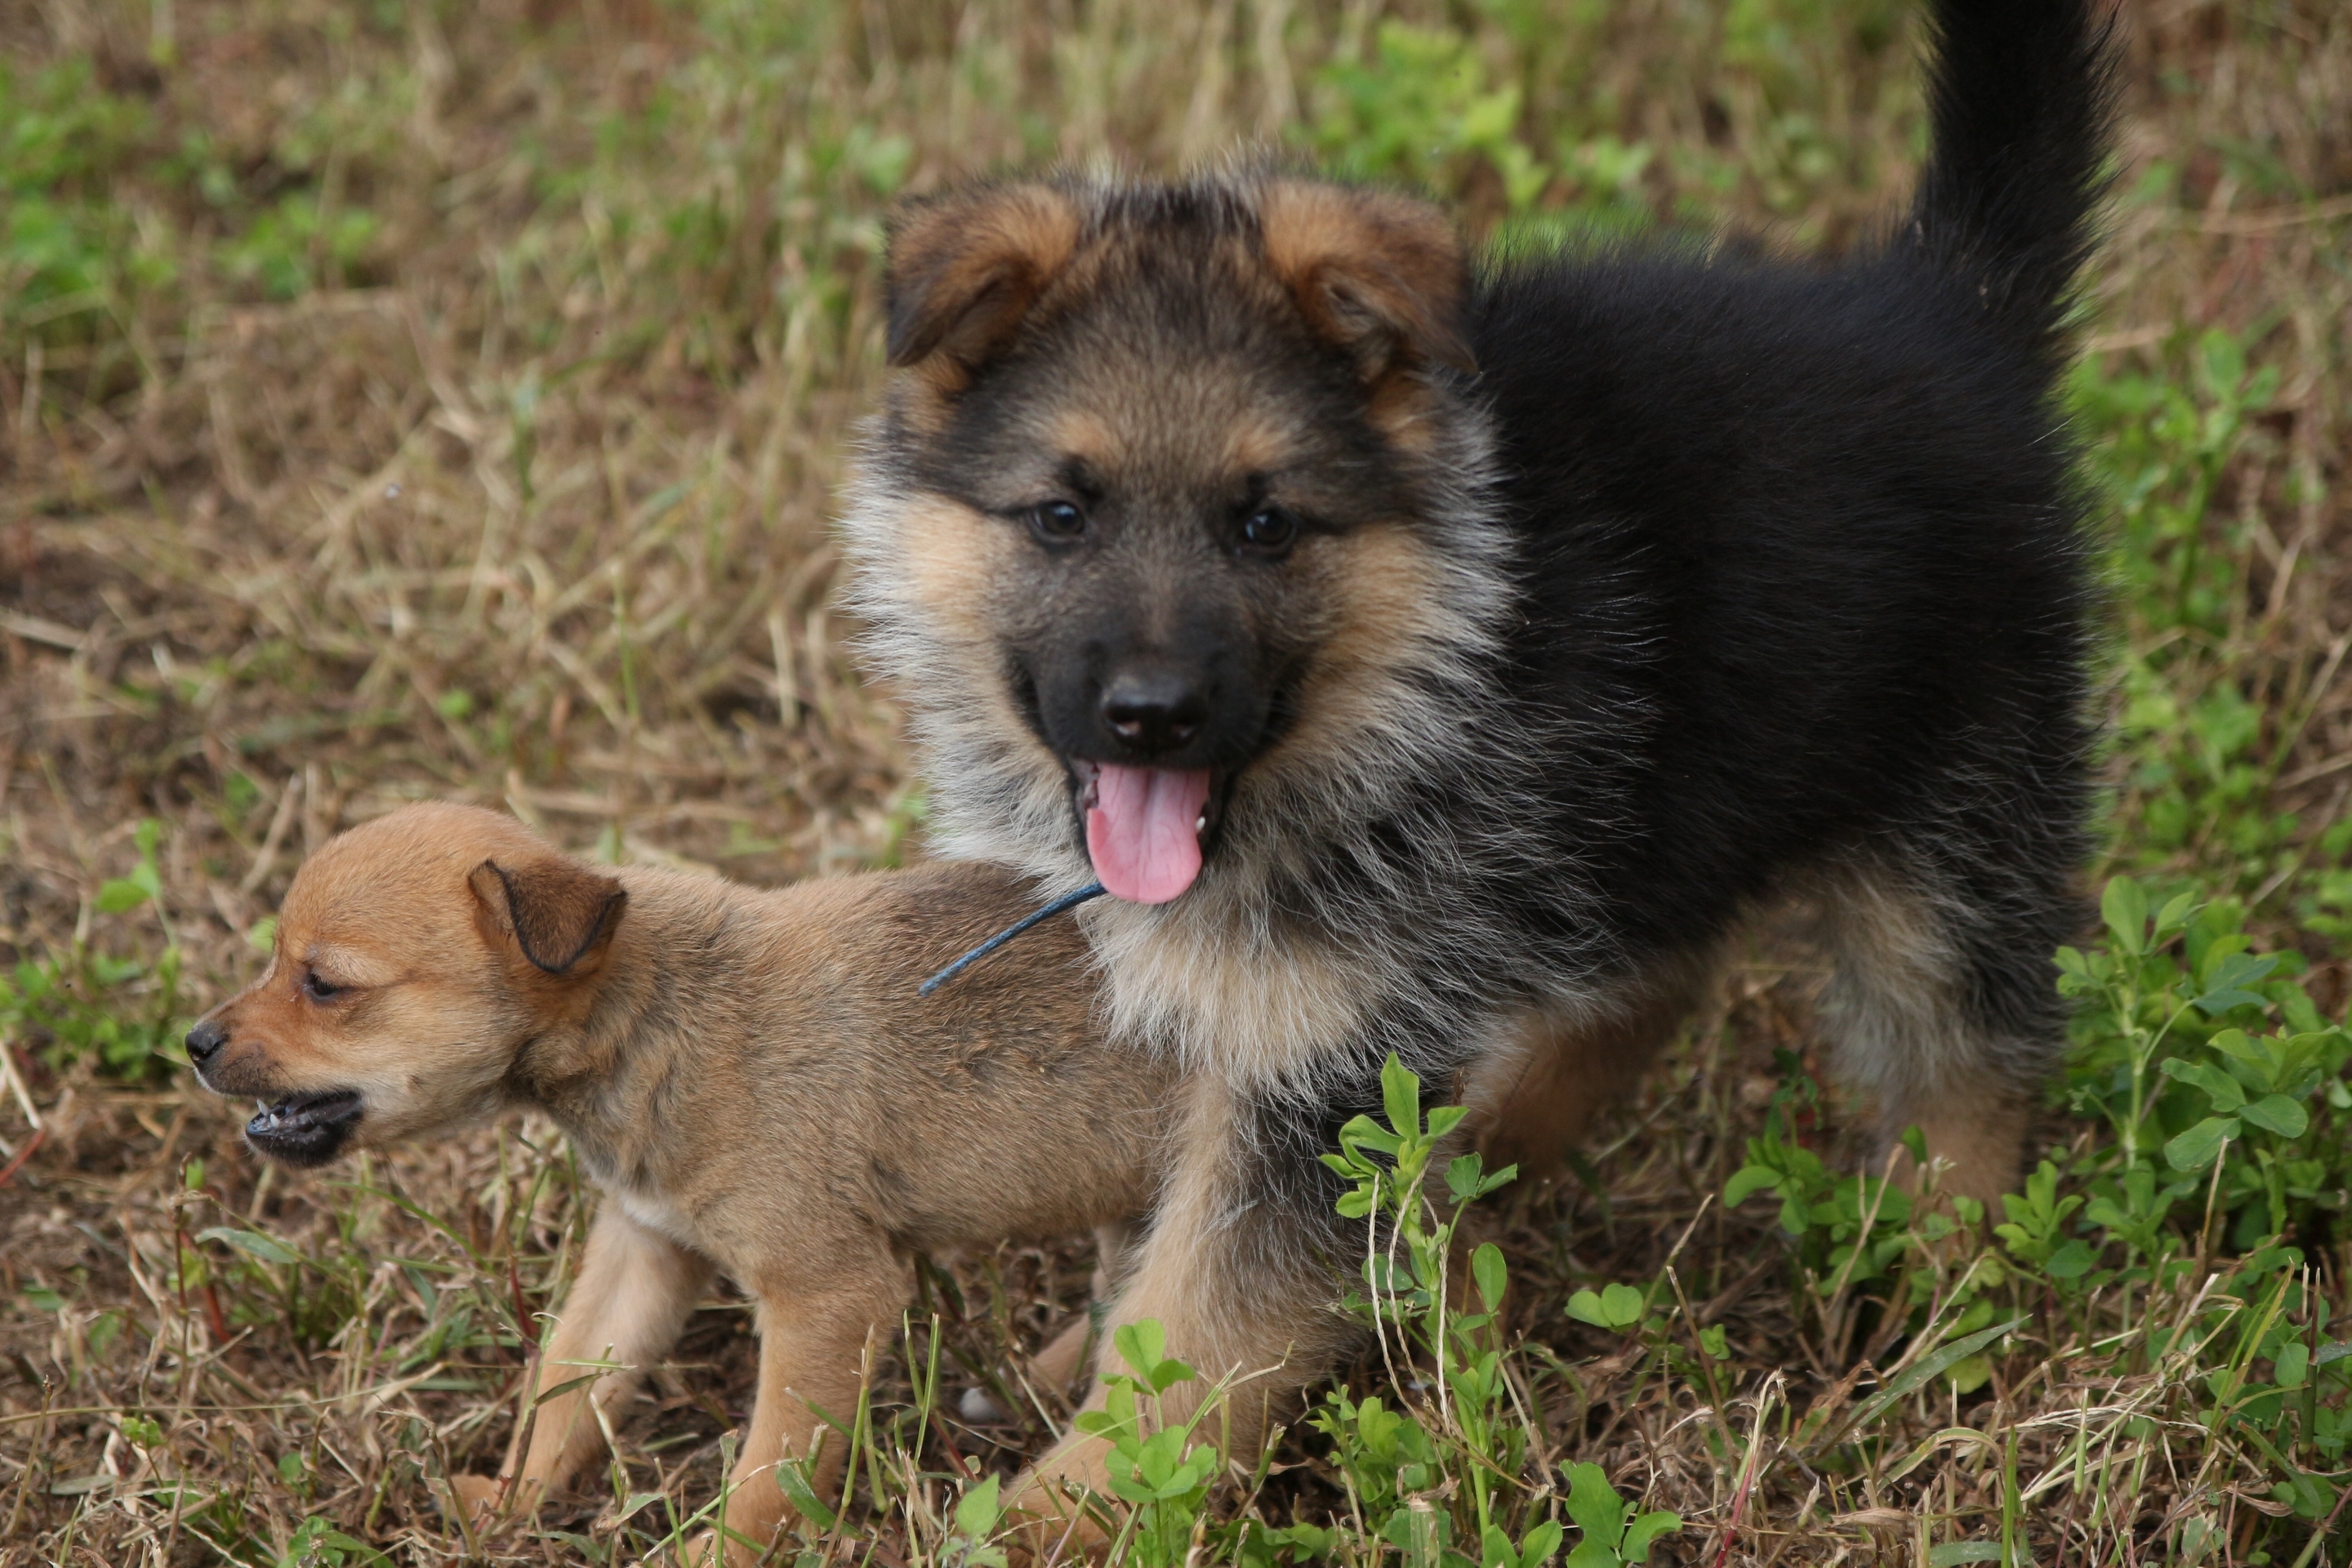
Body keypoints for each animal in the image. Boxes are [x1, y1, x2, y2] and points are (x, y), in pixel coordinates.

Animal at [185, 804, 1166, 1561]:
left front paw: (709, 1554)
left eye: (323, 985)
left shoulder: (827, 1297)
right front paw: (509, 1504)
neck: (655, 1014)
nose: (193, 1043)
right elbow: (565, 1393)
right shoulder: (642, 1247)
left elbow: (771, 1470)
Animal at [846, 0, 2117, 1504]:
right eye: (1060, 515)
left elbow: (1205, 1325)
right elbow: (1162, 1246)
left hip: (1948, 818)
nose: (1151, 714)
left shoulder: (1319, 1060)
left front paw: (1075, 1506)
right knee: (1647, 982)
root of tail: (1945, 304)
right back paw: (1486, 1158)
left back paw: (1948, 1285)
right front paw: (1076, 1369)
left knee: (1967, 1057)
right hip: (1664, 801)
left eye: (1265, 526)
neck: (1421, 663)